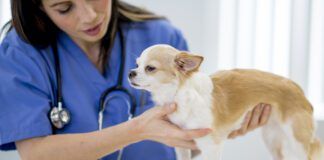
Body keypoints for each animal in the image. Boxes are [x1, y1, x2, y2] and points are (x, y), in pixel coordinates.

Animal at [128, 44, 322, 160]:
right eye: (137, 64)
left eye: (150, 68)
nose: (130, 72)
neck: (178, 96)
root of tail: (298, 88)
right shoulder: (181, 145)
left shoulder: (210, 146)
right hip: (273, 139)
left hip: (297, 143)